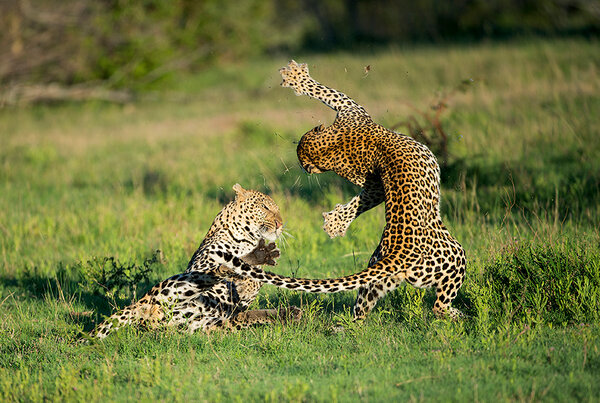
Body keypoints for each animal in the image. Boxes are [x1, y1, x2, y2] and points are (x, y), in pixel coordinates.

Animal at [89, 186, 302, 340]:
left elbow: (248, 297)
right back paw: (255, 256)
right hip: (171, 293)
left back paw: (289, 312)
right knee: (215, 274)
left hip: (200, 324)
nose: (280, 224)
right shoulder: (203, 263)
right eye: (265, 207)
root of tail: (140, 307)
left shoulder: (237, 308)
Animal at [211, 60, 468, 322]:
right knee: (439, 305)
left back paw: (349, 326)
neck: (335, 144)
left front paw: (335, 222)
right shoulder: (353, 110)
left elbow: (363, 196)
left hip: (376, 277)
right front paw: (297, 77)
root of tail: (399, 254)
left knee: (360, 309)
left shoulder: (370, 174)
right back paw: (459, 315)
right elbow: (327, 91)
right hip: (455, 257)